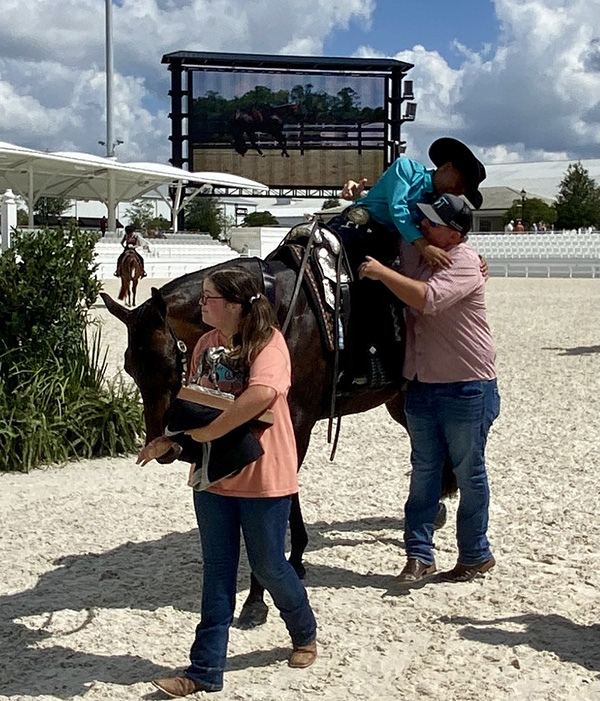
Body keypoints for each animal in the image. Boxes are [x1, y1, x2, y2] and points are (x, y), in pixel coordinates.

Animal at [102, 252, 454, 628]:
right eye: (130, 368)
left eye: (170, 360)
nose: (164, 445)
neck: (274, 311)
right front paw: (296, 559)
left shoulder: (293, 424)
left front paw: (257, 597)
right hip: (399, 400)